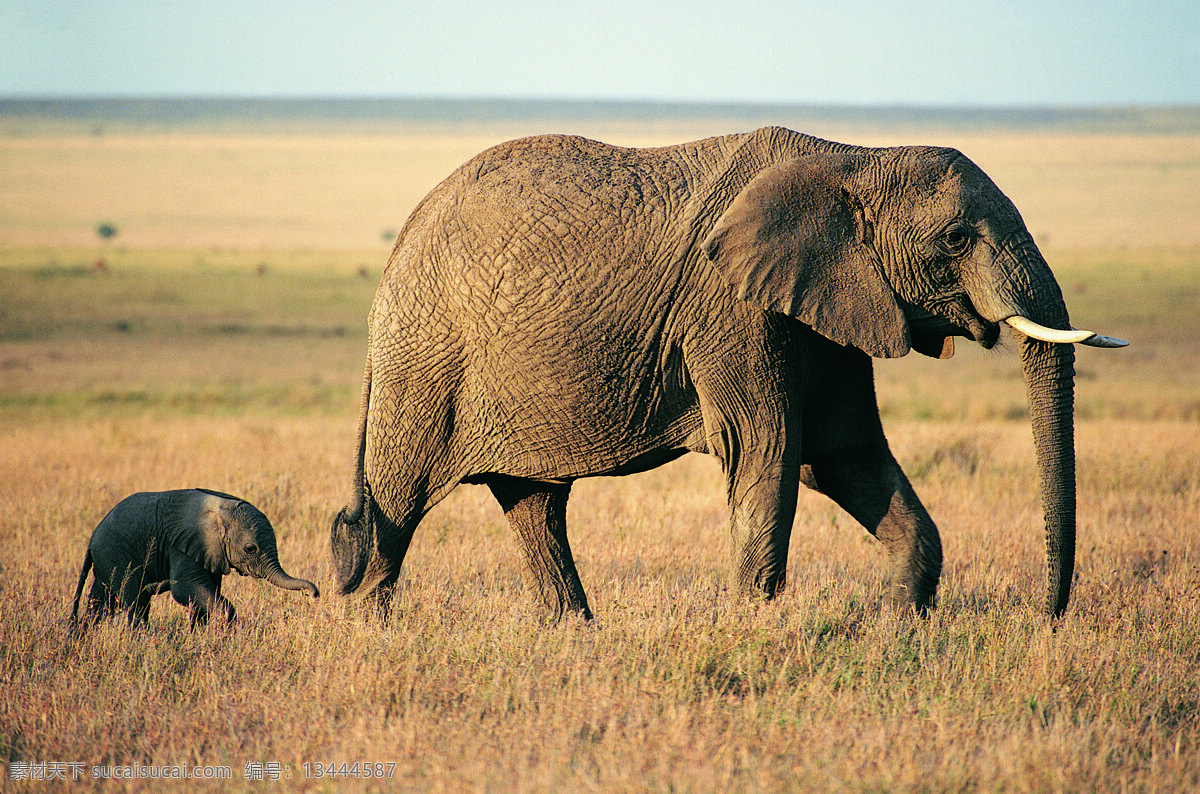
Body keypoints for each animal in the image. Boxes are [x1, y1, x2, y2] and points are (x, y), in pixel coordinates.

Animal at [72, 489, 319, 629]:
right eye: (250, 549)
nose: (314, 594)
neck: (222, 511)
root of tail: (92, 539)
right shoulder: (181, 546)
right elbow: (186, 590)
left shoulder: (210, 551)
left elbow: (205, 593)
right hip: (116, 553)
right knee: (135, 601)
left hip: (108, 559)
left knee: (101, 603)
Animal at [329, 126, 1125, 620]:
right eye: (956, 239)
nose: (1047, 617)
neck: (853, 156)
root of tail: (404, 236)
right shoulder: (732, 309)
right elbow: (769, 455)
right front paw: (755, 628)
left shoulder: (830, 311)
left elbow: (846, 454)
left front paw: (902, 628)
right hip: (424, 358)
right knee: (397, 504)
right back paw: (370, 636)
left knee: (534, 505)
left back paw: (574, 637)